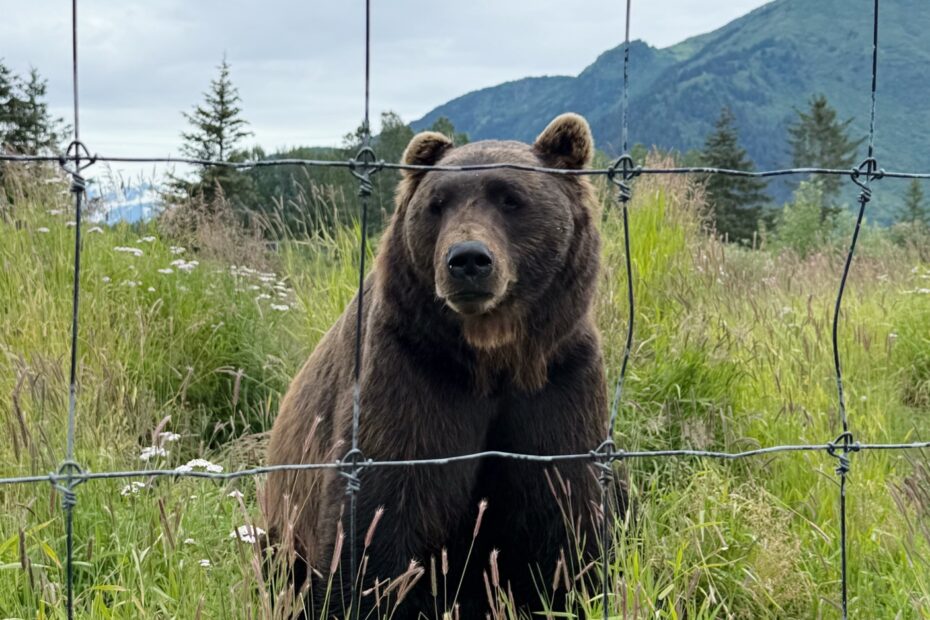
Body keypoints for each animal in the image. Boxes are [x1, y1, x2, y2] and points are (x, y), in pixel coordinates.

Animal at [266, 113, 615, 618]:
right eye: (437, 204)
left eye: (511, 198)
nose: (467, 259)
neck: (492, 357)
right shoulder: (412, 370)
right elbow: (378, 518)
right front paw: (353, 595)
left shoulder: (558, 378)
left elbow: (566, 509)